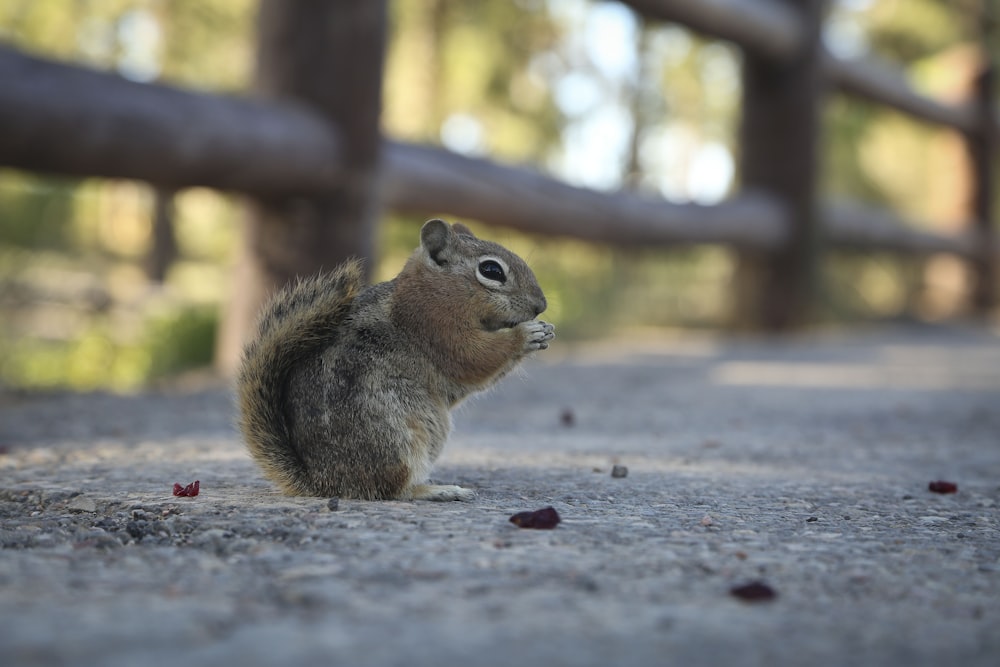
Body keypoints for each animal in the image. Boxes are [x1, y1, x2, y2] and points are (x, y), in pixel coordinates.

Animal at [239, 219, 560, 500]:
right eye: (491, 270)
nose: (540, 305)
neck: (431, 291)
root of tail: (325, 483)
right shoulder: (438, 328)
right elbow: (473, 356)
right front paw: (527, 334)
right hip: (399, 436)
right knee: (392, 490)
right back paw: (438, 491)